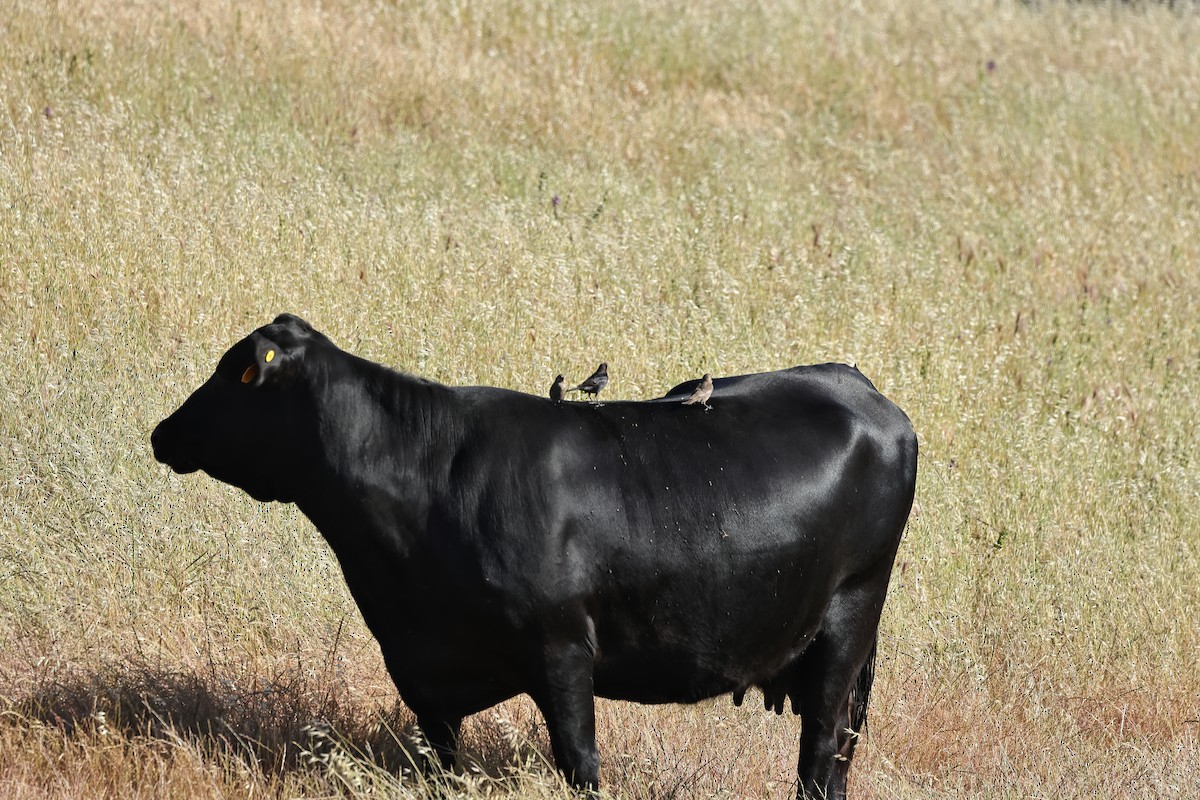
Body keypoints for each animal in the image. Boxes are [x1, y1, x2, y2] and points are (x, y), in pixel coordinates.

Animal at [150, 314, 916, 800]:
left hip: (849, 619)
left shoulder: (562, 649)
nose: (162, 431)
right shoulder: (422, 669)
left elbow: (580, 763)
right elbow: (442, 761)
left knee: (820, 753)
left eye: (237, 375)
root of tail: (859, 385)